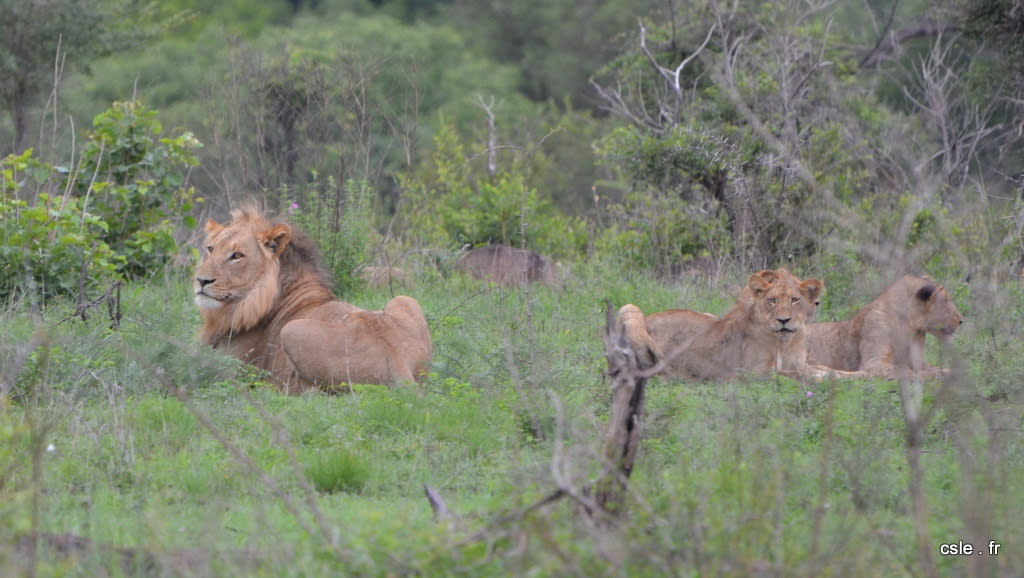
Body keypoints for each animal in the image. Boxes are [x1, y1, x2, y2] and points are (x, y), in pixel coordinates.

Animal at [194, 204, 432, 391]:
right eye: (210, 249)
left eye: (237, 255)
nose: (201, 280)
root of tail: (399, 363)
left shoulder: (230, 370)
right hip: (404, 299)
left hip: (292, 330)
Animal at [622, 270, 856, 381]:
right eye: (772, 300)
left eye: (795, 300)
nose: (784, 321)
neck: (787, 341)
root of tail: (649, 318)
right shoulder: (755, 373)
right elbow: (798, 376)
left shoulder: (800, 362)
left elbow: (828, 370)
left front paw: (855, 377)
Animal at [802, 274, 962, 379]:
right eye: (946, 301)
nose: (961, 320)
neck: (910, 326)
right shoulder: (873, 362)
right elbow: (907, 371)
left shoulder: (918, 360)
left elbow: (937, 368)